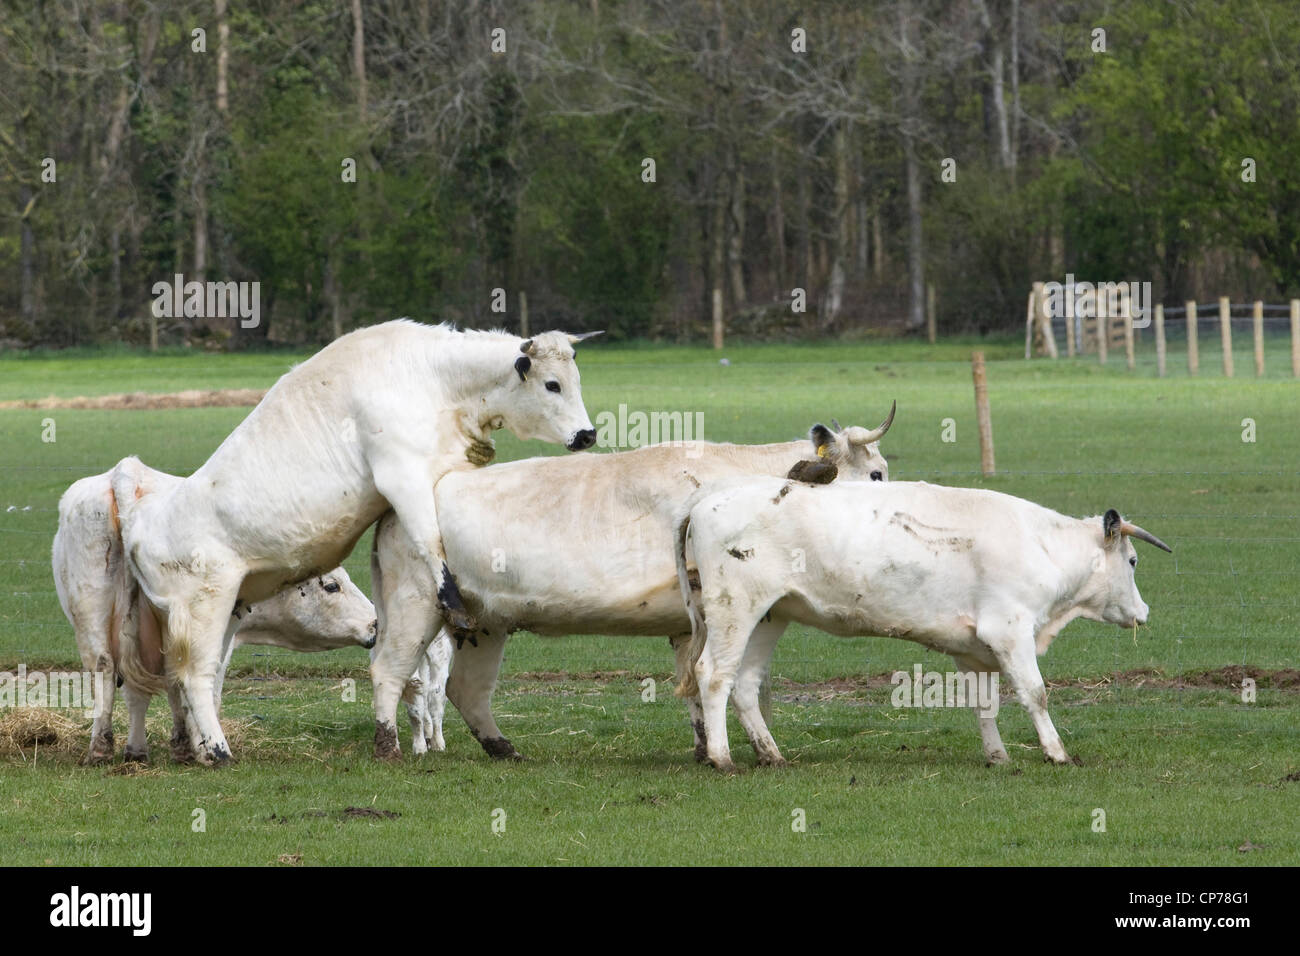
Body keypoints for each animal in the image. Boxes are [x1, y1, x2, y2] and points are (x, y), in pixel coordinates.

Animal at [52, 468, 377, 764]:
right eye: (332, 585)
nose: (374, 622)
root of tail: (125, 473)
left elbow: (148, 690)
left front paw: (145, 749)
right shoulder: (223, 635)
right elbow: (206, 689)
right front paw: (198, 745)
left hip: (93, 613)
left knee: (103, 669)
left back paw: (102, 749)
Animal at [111, 321, 598, 764]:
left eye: (576, 379)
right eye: (552, 384)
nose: (588, 434)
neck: (429, 376)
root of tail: (140, 522)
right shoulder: (401, 475)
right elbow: (430, 538)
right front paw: (453, 601)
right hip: (206, 606)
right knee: (196, 676)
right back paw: (218, 749)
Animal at [369, 408, 894, 759]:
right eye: (876, 473)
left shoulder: (689, 624)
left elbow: (694, 683)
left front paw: (704, 748)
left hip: (484, 624)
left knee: (466, 690)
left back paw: (503, 749)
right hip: (416, 606)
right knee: (389, 672)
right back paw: (389, 747)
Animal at [676, 478, 1175, 770]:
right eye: (1132, 561)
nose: (1145, 612)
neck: (1042, 546)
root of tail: (703, 504)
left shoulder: (976, 650)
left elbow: (985, 705)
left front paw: (998, 756)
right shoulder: (1010, 631)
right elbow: (1035, 694)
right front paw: (1056, 752)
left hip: (769, 616)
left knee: (744, 683)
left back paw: (771, 754)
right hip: (735, 610)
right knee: (714, 676)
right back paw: (721, 757)